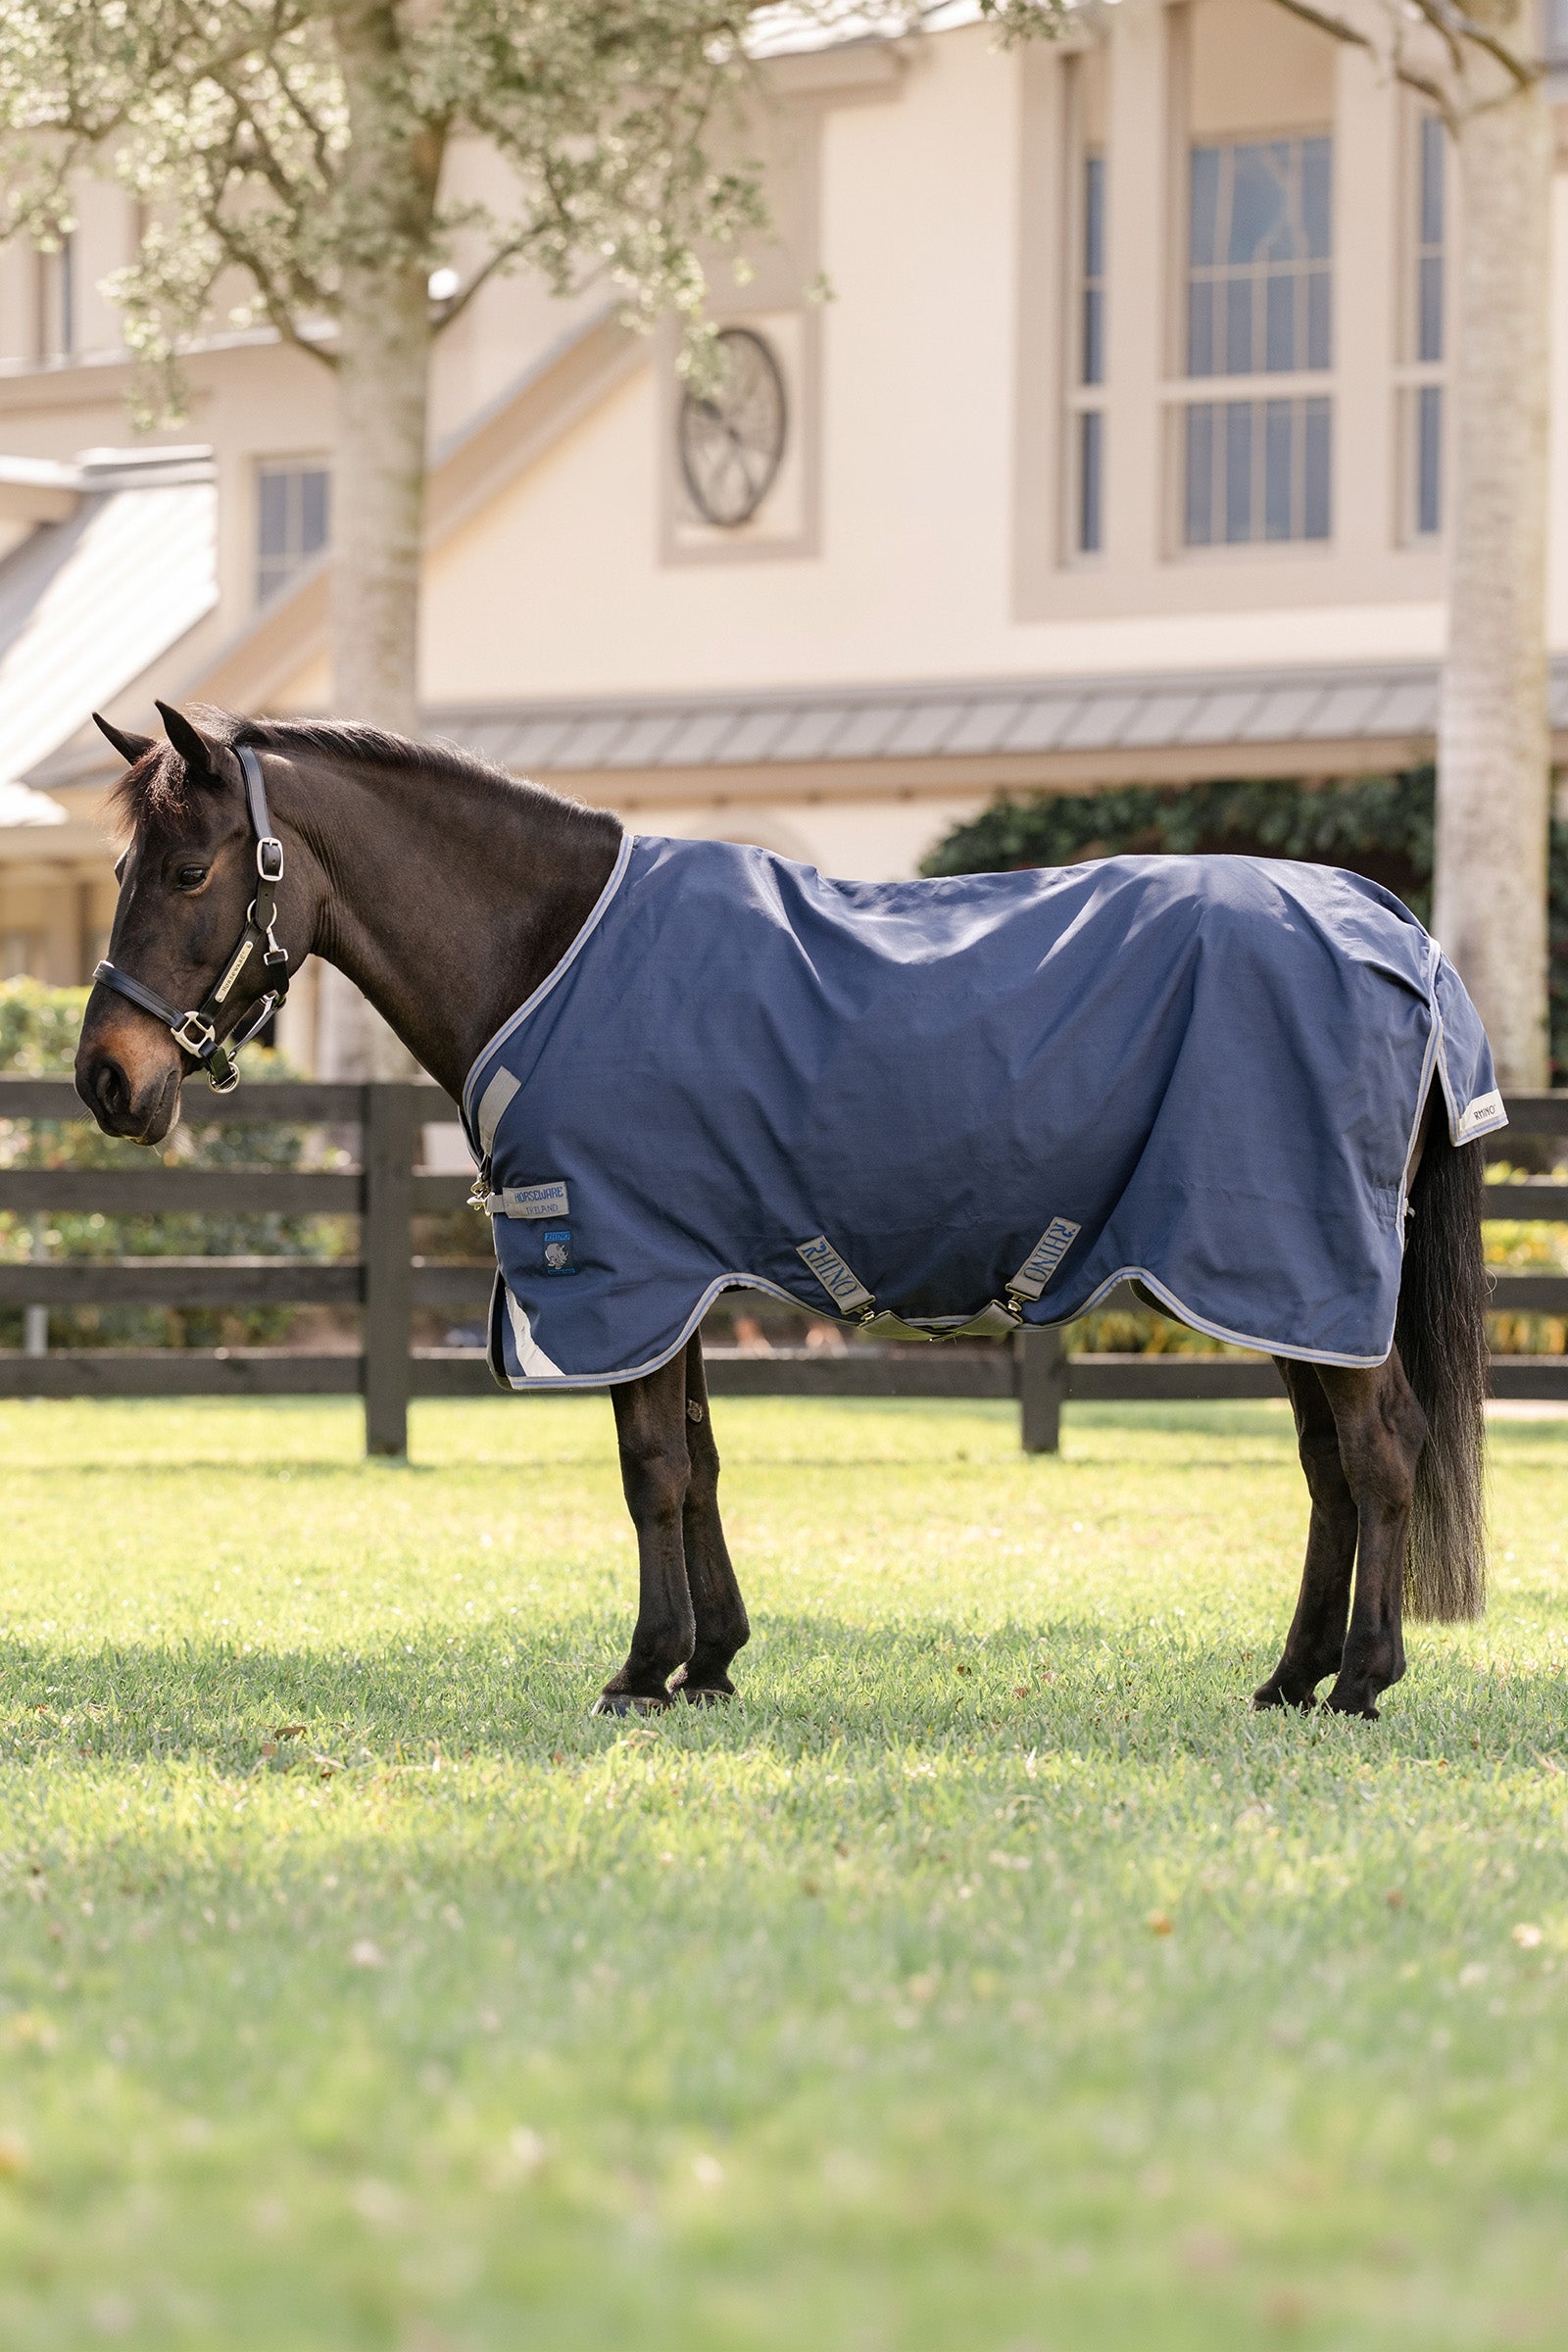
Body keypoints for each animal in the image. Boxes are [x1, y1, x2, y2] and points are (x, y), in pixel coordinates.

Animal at [76, 701, 1492, 1722]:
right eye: (121, 867)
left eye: (191, 870)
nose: (105, 1080)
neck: (545, 949)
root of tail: (1396, 931)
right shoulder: (681, 1278)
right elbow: (698, 1464)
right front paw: (710, 1661)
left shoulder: (623, 1269)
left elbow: (649, 1472)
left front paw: (642, 1671)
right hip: (1283, 1286)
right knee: (1328, 1470)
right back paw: (1293, 1678)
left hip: (1295, 1262)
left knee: (1379, 1454)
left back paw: (1362, 1682)